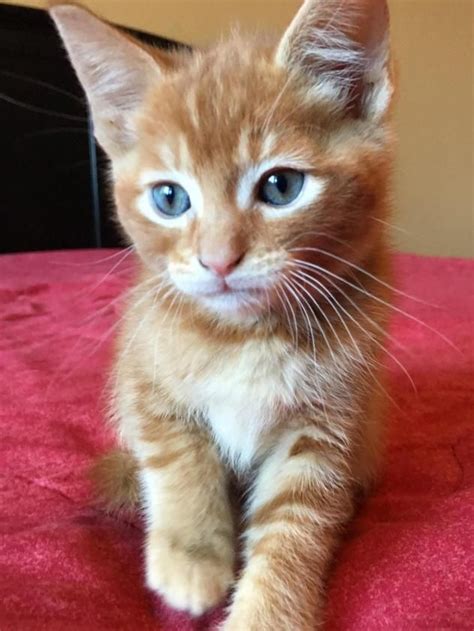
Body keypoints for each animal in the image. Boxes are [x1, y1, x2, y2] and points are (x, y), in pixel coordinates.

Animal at [51, 2, 392, 628]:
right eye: (169, 198)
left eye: (280, 186)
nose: (218, 259)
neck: (247, 337)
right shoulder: (144, 375)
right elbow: (177, 458)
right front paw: (191, 560)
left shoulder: (326, 428)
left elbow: (295, 525)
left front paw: (267, 612)